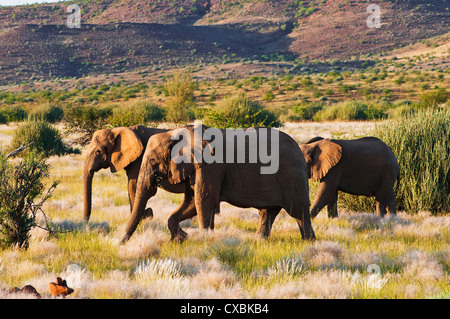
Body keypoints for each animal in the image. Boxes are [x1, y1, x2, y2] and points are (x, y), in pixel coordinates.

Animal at [121, 124, 314, 242]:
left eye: (153, 161)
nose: (119, 244)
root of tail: (299, 148)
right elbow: (192, 202)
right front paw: (181, 239)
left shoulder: (210, 166)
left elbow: (203, 201)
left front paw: (204, 241)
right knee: (268, 212)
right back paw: (260, 241)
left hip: (293, 177)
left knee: (299, 213)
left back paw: (308, 242)